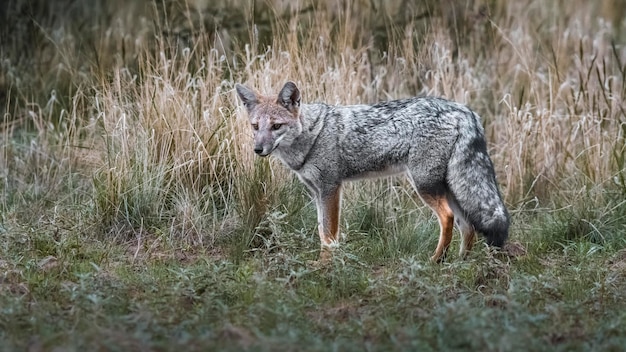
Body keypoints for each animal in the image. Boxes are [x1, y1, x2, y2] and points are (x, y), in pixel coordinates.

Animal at [234, 80, 508, 262]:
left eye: (276, 126)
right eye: (255, 126)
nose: (258, 149)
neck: (312, 135)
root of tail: (465, 111)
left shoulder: (331, 188)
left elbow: (329, 235)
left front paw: (325, 267)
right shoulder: (316, 192)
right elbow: (321, 232)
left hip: (425, 185)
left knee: (448, 218)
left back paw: (435, 261)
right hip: (448, 187)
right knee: (468, 225)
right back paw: (460, 264)